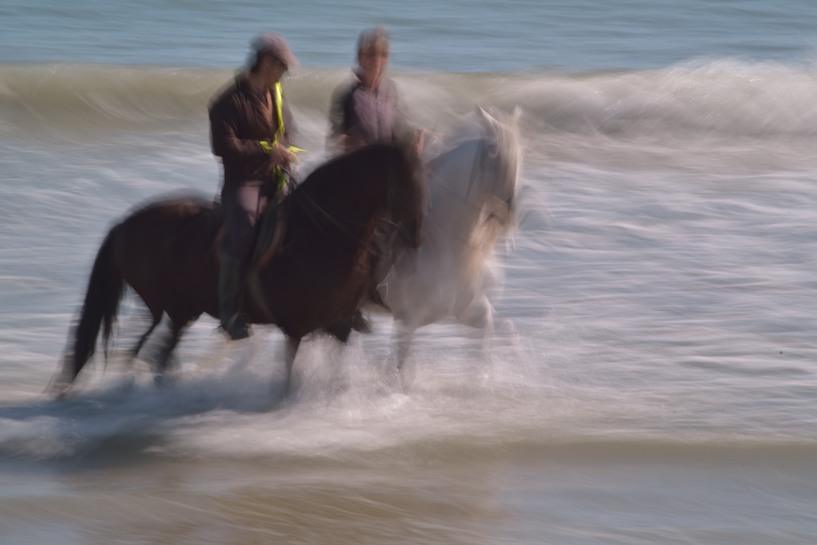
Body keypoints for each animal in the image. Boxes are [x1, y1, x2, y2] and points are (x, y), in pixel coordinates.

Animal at [50, 141, 424, 396]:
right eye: (405, 181)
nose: (416, 234)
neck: (319, 236)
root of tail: (123, 225)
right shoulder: (296, 329)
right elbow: (287, 380)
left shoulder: (340, 326)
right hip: (167, 307)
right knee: (146, 351)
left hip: (181, 311)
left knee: (154, 354)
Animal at [376, 105, 524, 378]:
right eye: (493, 153)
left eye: (519, 155)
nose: (509, 215)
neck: (443, 247)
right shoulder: (406, 322)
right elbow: (398, 373)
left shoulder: (470, 310)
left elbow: (483, 344)